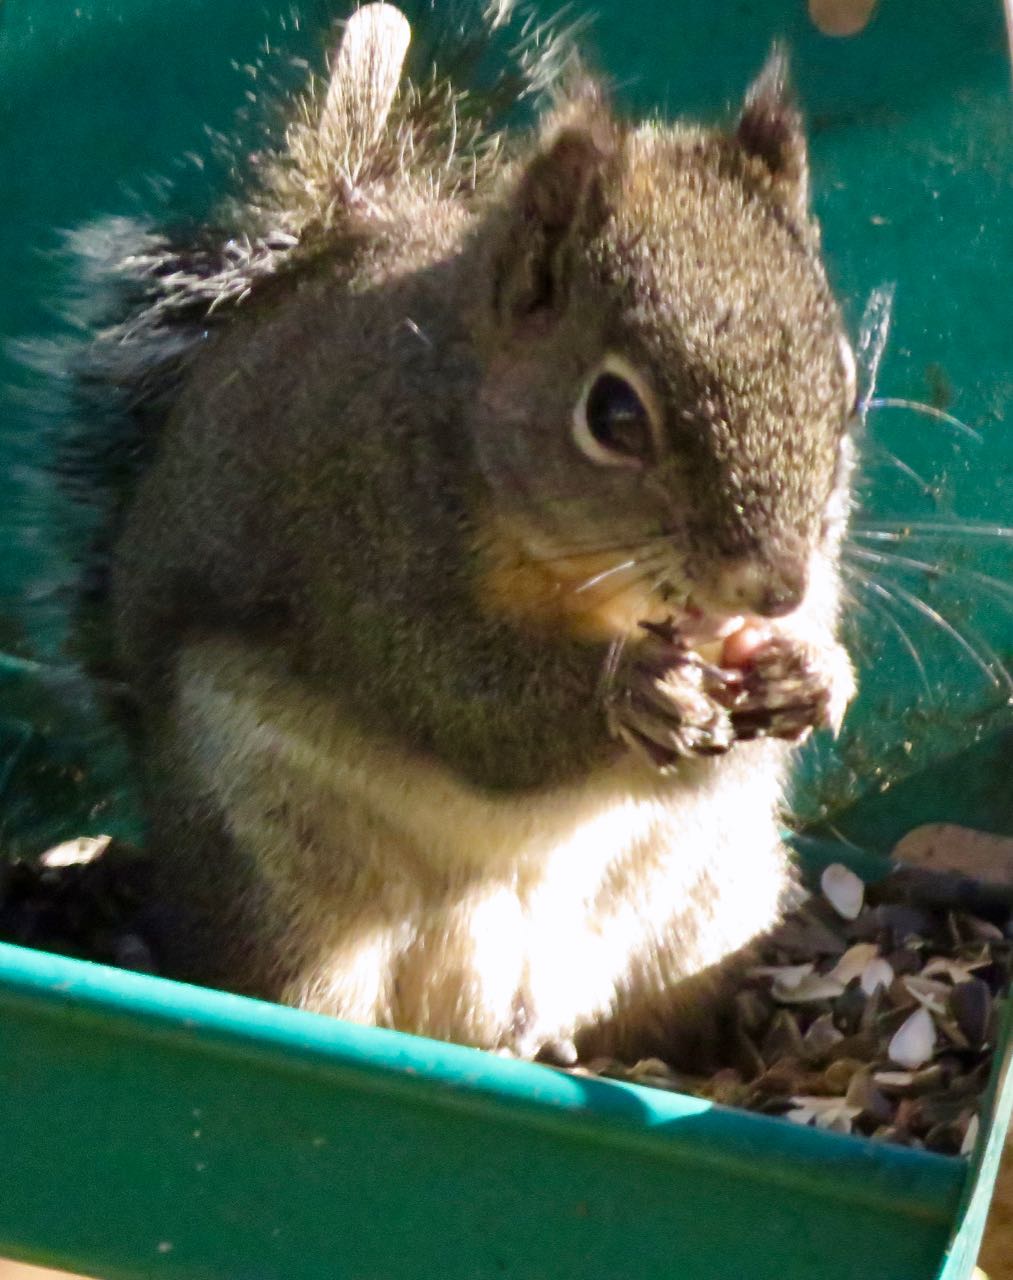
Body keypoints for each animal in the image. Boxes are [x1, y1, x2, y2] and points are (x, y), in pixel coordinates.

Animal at [79, 2, 859, 1064]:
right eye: (612, 415)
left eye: (847, 385)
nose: (773, 588)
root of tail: (492, 1015)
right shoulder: (361, 533)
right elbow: (461, 696)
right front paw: (633, 692)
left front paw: (810, 668)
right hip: (282, 878)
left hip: (709, 897)